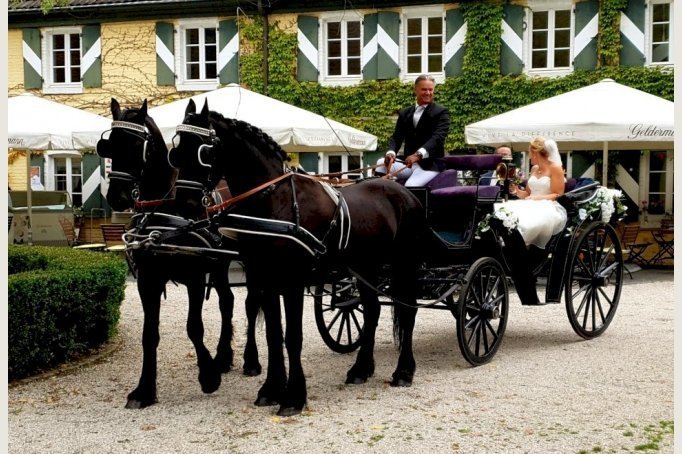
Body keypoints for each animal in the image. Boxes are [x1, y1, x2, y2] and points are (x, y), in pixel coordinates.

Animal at [98, 100, 262, 412]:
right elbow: (149, 334)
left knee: (250, 304)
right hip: (219, 265)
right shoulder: (148, 280)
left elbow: (194, 327)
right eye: (109, 145)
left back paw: (250, 360)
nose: (117, 197)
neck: (163, 212)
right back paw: (224, 357)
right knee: (227, 302)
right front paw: (144, 390)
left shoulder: (194, 278)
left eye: (137, 145)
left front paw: (207, 377)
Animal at [170, 100, 424, 418]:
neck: (274, 200)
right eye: (176, 150)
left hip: (405, 265)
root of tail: (402, 191)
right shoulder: (264, 278)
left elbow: (292, 337)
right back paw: (361, 369)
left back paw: (404, 371)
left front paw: (293, 397)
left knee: (408, 311)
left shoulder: (292, 281)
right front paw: (271, 389)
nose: (184, 204)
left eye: (204, 151)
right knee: (373, 310)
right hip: (366, 267)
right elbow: (273, 335)